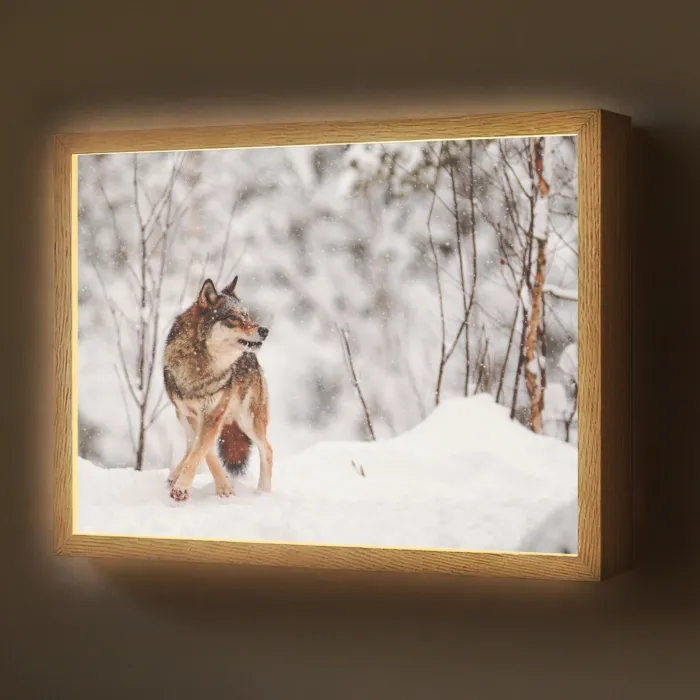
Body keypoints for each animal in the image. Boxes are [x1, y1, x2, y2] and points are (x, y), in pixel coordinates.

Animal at [162, 276, 272, 502]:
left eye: (247, 315)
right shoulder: (193, 416)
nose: (264, 330)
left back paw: (263, 492)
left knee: (267, 449)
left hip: (249, 421)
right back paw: (175, 474)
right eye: (232, 317)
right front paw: (223, 486)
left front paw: (183, 488)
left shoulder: (213, 415)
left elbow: (200, 452)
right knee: (190, 444)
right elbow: (203, 451)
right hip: (182, 416)